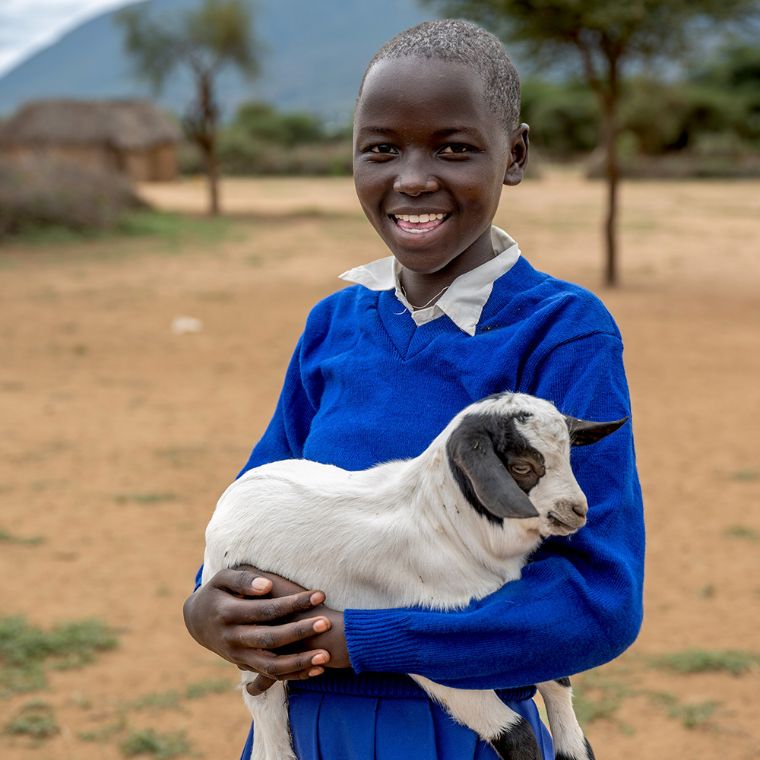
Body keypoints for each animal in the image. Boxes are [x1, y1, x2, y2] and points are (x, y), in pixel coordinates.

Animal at [200, 392, 624, 760]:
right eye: (522, 467)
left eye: (568, 455)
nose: (577, 510)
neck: (443, 520)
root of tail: (229, 499)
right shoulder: (435, 651)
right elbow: (515, 732)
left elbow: (557, 681)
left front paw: (575, 749)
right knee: (267, 721)